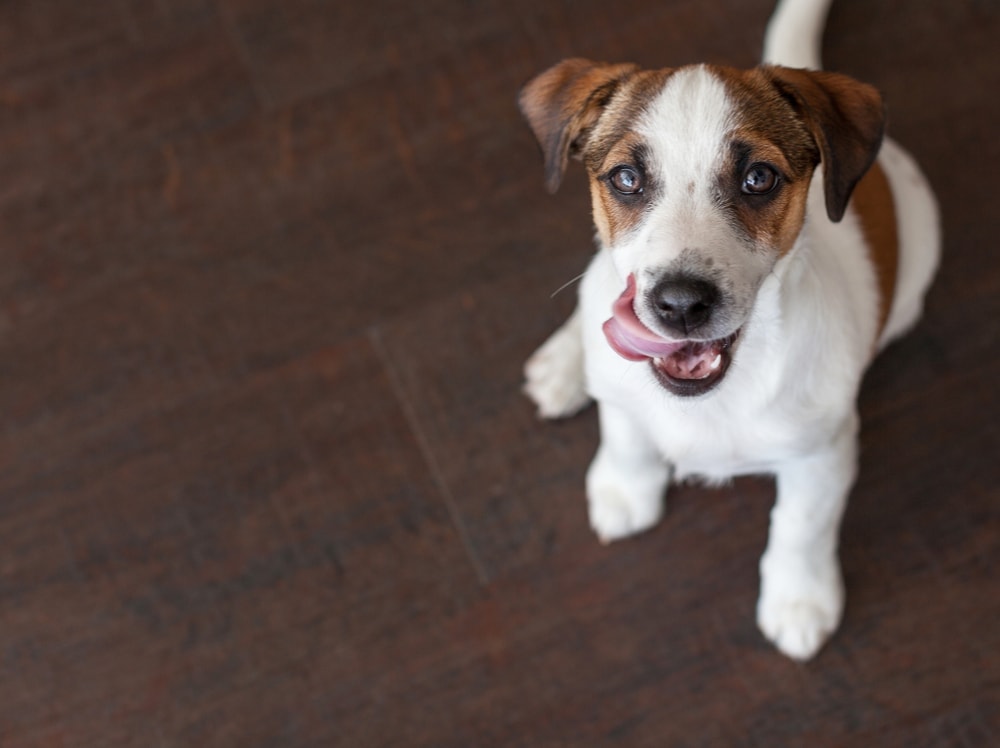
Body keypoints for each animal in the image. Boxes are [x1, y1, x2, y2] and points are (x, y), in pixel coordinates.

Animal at [520, 0, 940, 660]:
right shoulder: (626, 395)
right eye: (627, 179)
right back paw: (564, 362)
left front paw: (800, 599)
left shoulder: (822, 452)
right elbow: (626, 433)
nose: (679, 304)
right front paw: (625, 489)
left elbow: (801, 525)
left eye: (758, 178)